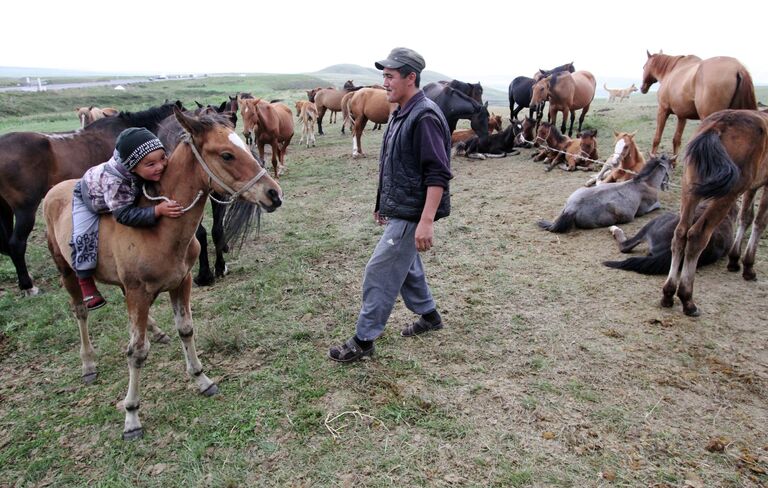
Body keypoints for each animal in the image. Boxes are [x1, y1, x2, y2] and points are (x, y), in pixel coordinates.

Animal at [42, 107, 282, 442]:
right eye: (226, 154)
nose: (274, 193)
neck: (159, 231)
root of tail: (56, 189)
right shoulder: (138, 293)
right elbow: (136, 352)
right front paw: (131, 417)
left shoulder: (181, 282)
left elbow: (186, 329)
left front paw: (202, 379)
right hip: (66, 269)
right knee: (80, 311)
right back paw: (88, 362)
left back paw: (156, 331)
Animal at [660, 108, 768, 316]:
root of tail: (719, 126)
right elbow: (759, 221)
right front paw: (748, 266)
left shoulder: (752, 187)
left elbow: (746, 217)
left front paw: (735, 260)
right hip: (728, 192)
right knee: (697, 235)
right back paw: (687, 299)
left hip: (690, 187)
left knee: (680, 233)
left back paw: (668, 293)